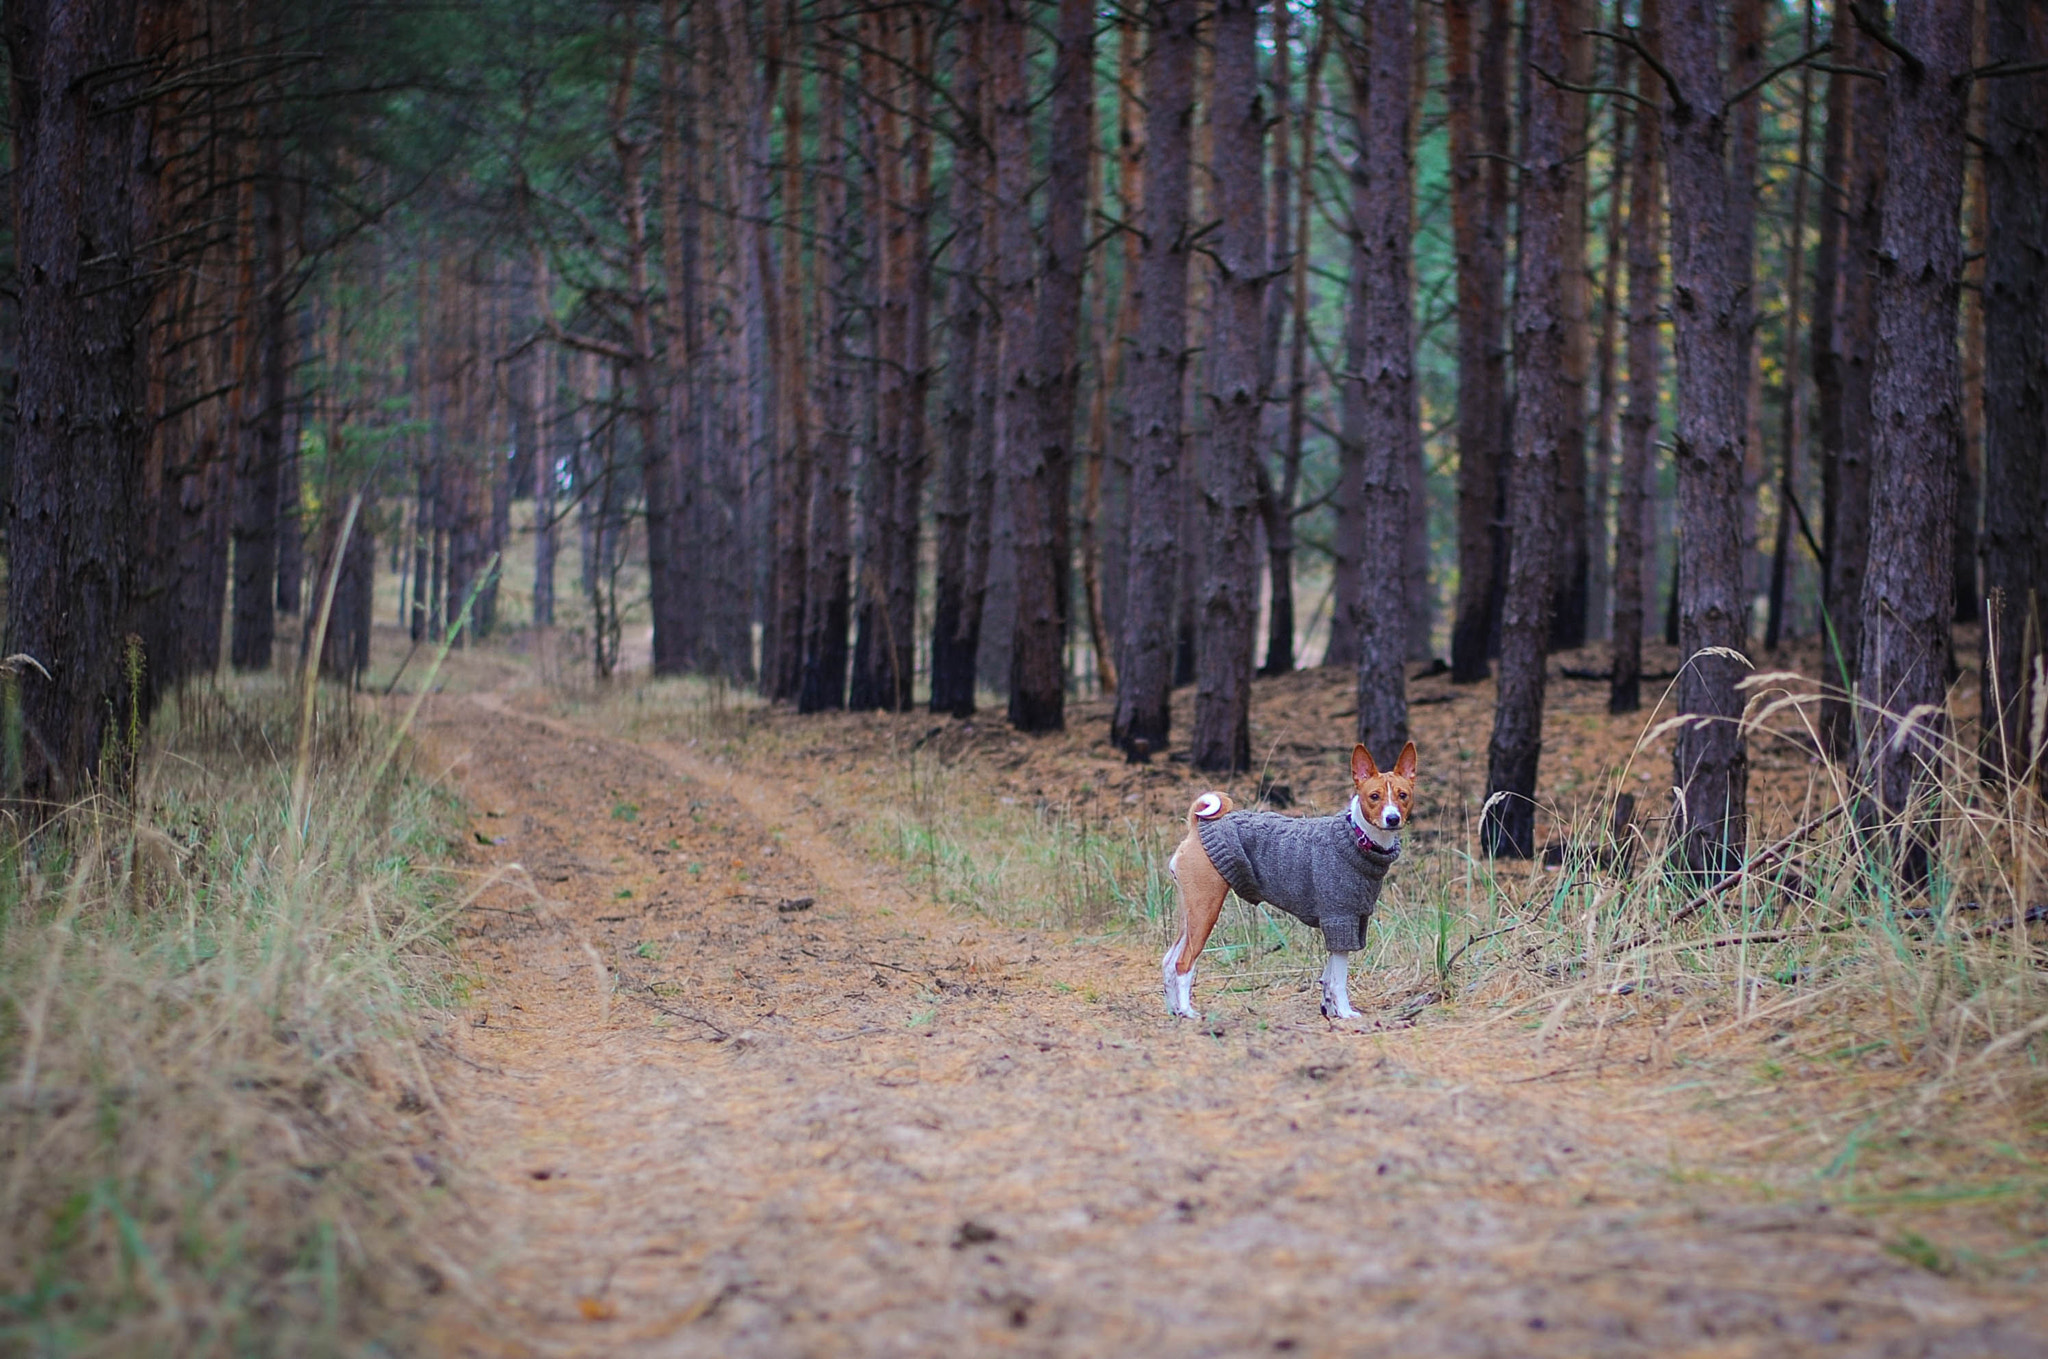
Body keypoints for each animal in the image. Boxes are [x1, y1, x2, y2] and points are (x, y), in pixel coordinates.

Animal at [1163, 744, 1417, 1019]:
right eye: (1374, 796)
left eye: (1403, 795)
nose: (1392, 818)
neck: (1356, 836)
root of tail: (1196, 828)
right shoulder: (1340, 918)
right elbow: (1338, 980)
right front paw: (1345, 1013)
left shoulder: (1350, 921)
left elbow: (1327, 978)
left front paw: (1329, 1009)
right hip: (1205, 910)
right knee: (1183, 963)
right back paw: (1187, 1012)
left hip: (1189, 913)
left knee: (1168, 961)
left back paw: (1173, 1009)